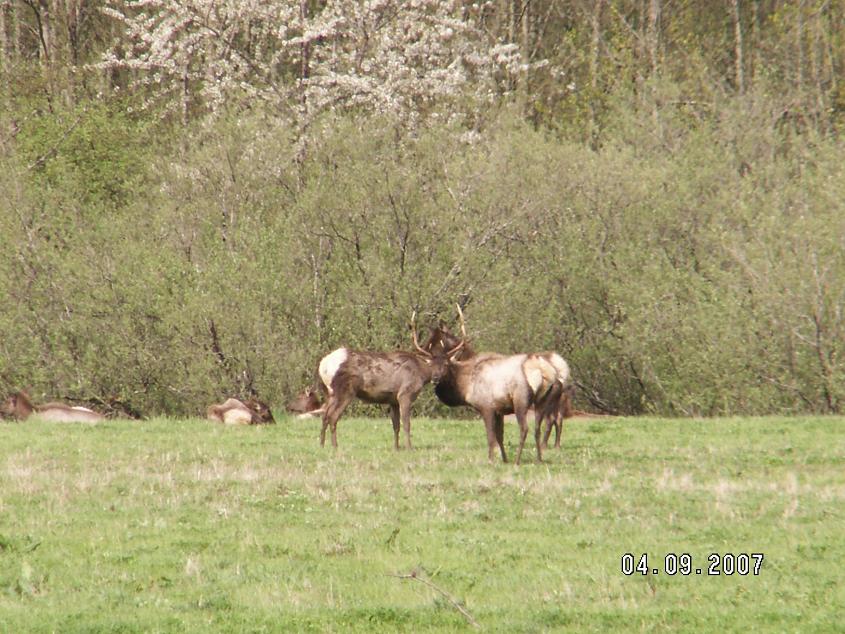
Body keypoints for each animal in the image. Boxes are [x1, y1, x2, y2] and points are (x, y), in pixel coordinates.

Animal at [314, 316, 448, 450]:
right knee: (333, 416)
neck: (420, 374)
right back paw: (335, 446)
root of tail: (323, 366)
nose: (436, 377)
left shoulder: (393, 400)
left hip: (329, 392)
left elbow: (396, 426)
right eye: (430, 364)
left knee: (324, 415)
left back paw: (321, 445)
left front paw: (396, 448)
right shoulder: (405, 394)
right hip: (345, 390)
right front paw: (409, 448)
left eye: (445, 365)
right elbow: (406, 423)